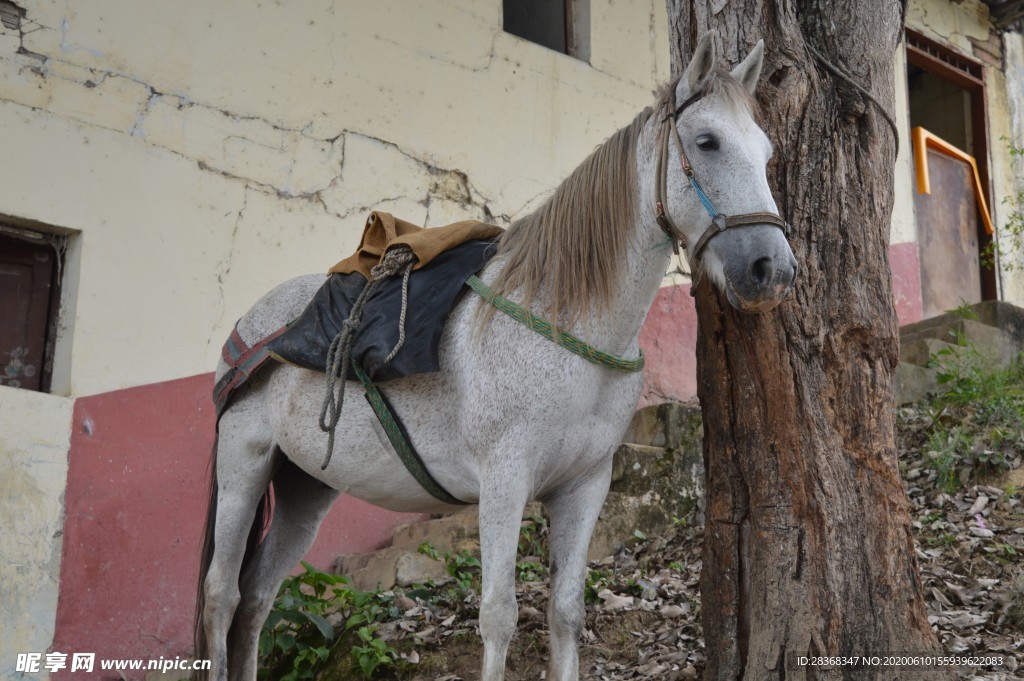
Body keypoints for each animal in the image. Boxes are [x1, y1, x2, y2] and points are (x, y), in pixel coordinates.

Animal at [195, 31, 796, 681]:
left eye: (767, 153)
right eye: (707, 142)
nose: (772, 269)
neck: (564, 325)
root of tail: (247, 332)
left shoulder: (586, 485)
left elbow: (566, 612)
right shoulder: (504, 483)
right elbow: (499, 616)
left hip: (306, 485)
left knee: (258, 598)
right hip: (245, 464)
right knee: (222, 595)